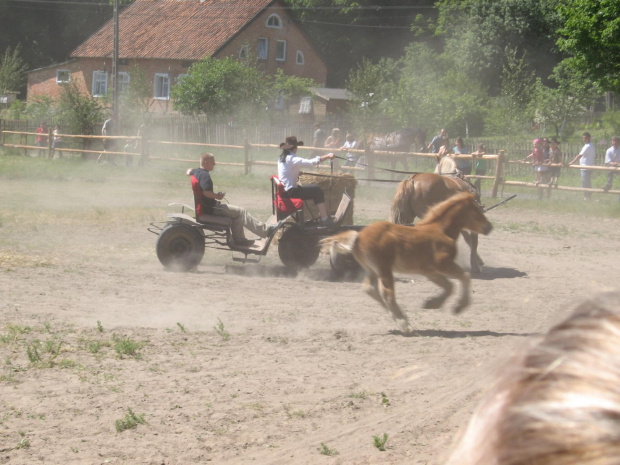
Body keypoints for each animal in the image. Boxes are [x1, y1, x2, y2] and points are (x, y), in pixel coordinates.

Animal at [322, 192, 492, 334]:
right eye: (477, 211)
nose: (489, 227)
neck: (442, 231)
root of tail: (359, 236)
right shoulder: (443, 265)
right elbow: (464, 277)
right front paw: (458, 307)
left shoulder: (430, 272)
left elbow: (449, 286)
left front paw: (432, 303)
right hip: (385, 270)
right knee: (387, 293)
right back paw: (405, 326)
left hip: (373, 270)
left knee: (369, 289)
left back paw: (403, 320)